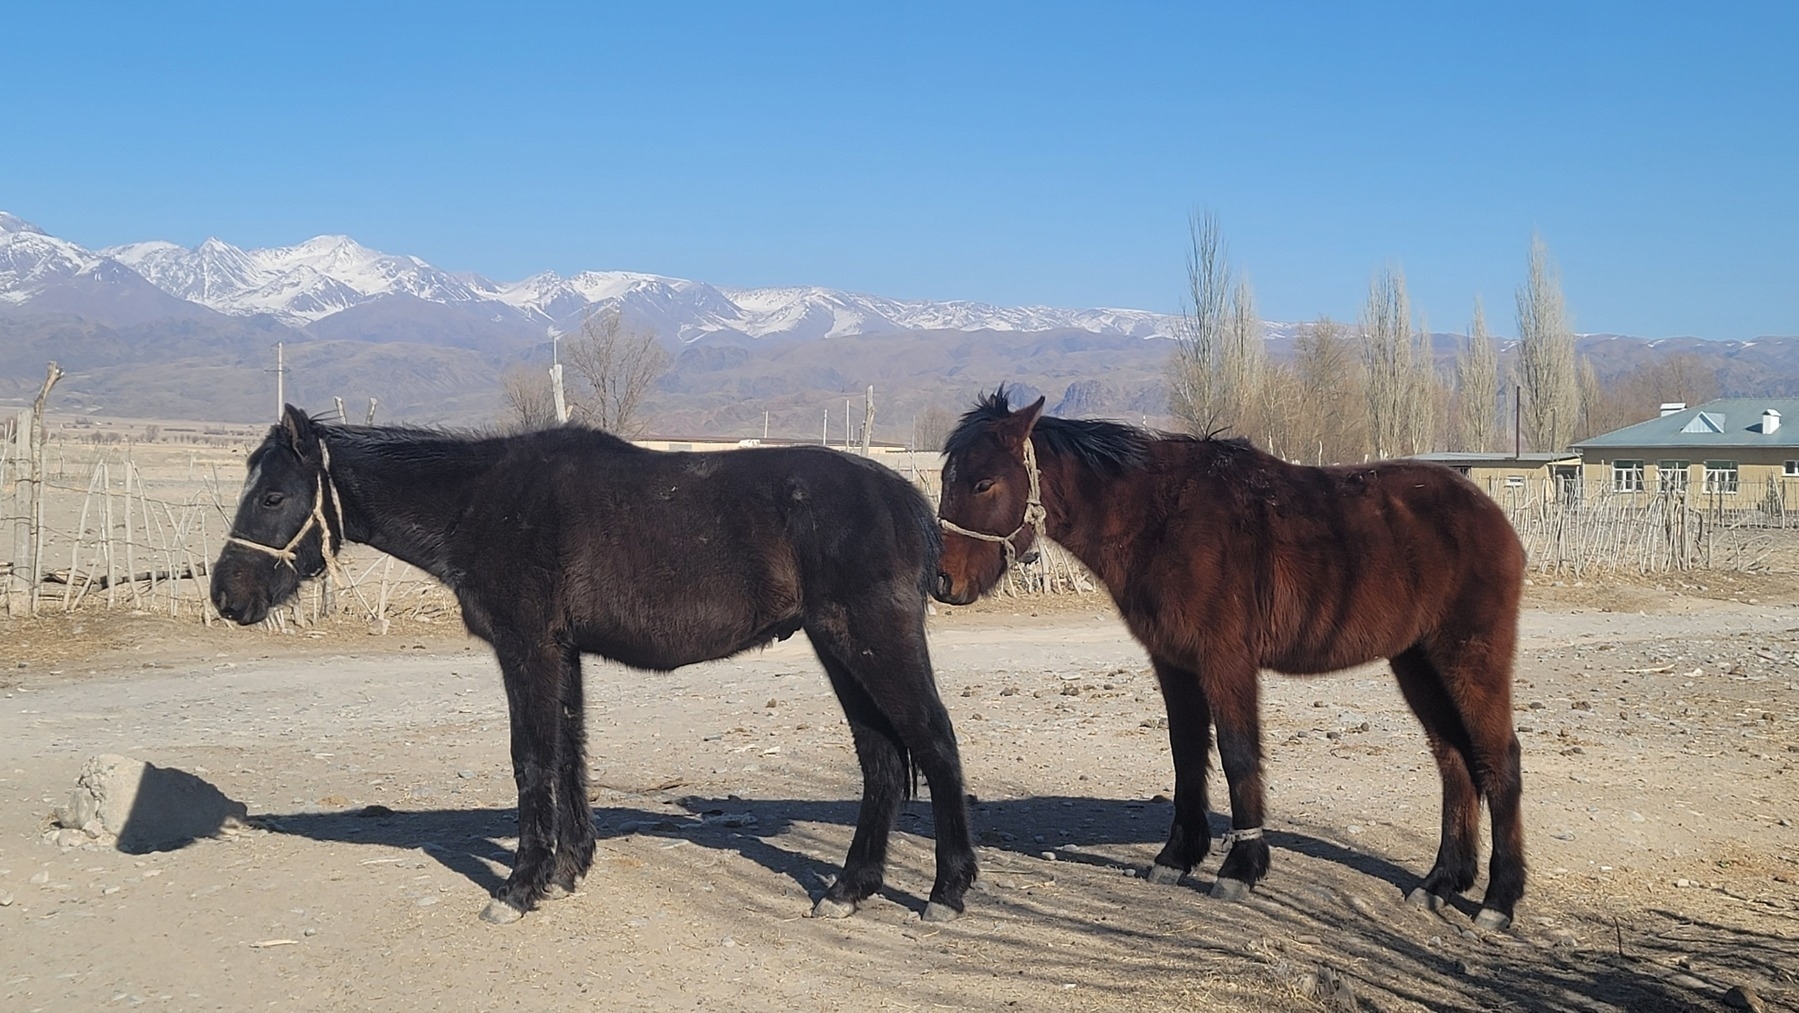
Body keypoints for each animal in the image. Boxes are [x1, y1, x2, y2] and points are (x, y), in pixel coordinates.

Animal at [210, 406, 978, 928]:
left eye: (273, 496)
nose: (225, 595)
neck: (481, 501)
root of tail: (907, 499)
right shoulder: (562, 652)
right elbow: (570, 754)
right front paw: (568, 867)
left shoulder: (526, 649)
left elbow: (531, 760)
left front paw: (519, 887)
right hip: (839, 647)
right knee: (882, 759)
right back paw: (849, 888)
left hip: (872, 643)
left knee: (936, 743)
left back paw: (946, 890)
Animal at [935, 392, 1525, 928]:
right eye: (947, 479)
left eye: (983, 483)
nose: (943, 583)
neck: (1163, 517)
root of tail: (1490, 514)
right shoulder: (1174, 663)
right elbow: (1187, 753)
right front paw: (1177, 857)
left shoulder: (1226, 660)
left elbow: (1239, 755)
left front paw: (1240, 868)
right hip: (1417, 664)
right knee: (1454, 761)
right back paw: (1441, 882)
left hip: (1470, 657)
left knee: (1499, 759)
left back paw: (1499, 900)